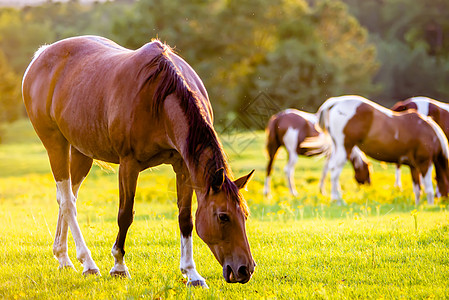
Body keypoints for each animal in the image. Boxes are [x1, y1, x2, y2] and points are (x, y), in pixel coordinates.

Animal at [21, 36, 256, 288]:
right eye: (223, 216)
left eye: (245, 215)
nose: (245, 269)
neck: (160, 97)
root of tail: (41, 56)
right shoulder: (129, 164)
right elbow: (125, 214)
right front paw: (119, 267)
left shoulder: (183, 167)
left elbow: (185, 218)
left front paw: (191, 273)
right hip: (55, 144)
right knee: (67, 202)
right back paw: (88, 263)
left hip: (81, 152)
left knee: (67, 198)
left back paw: (64, 258)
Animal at [308, 95, 448, 205]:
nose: (444, 200)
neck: (431, 133)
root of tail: (335, 102)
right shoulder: (425, 162)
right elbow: (428, 188)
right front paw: (430, 205)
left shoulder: (414, 166)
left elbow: (417, 189)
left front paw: (418, 205)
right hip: (344, 148)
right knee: (335, 171)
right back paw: (337, 200)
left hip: (338, 147)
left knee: (331, 168)